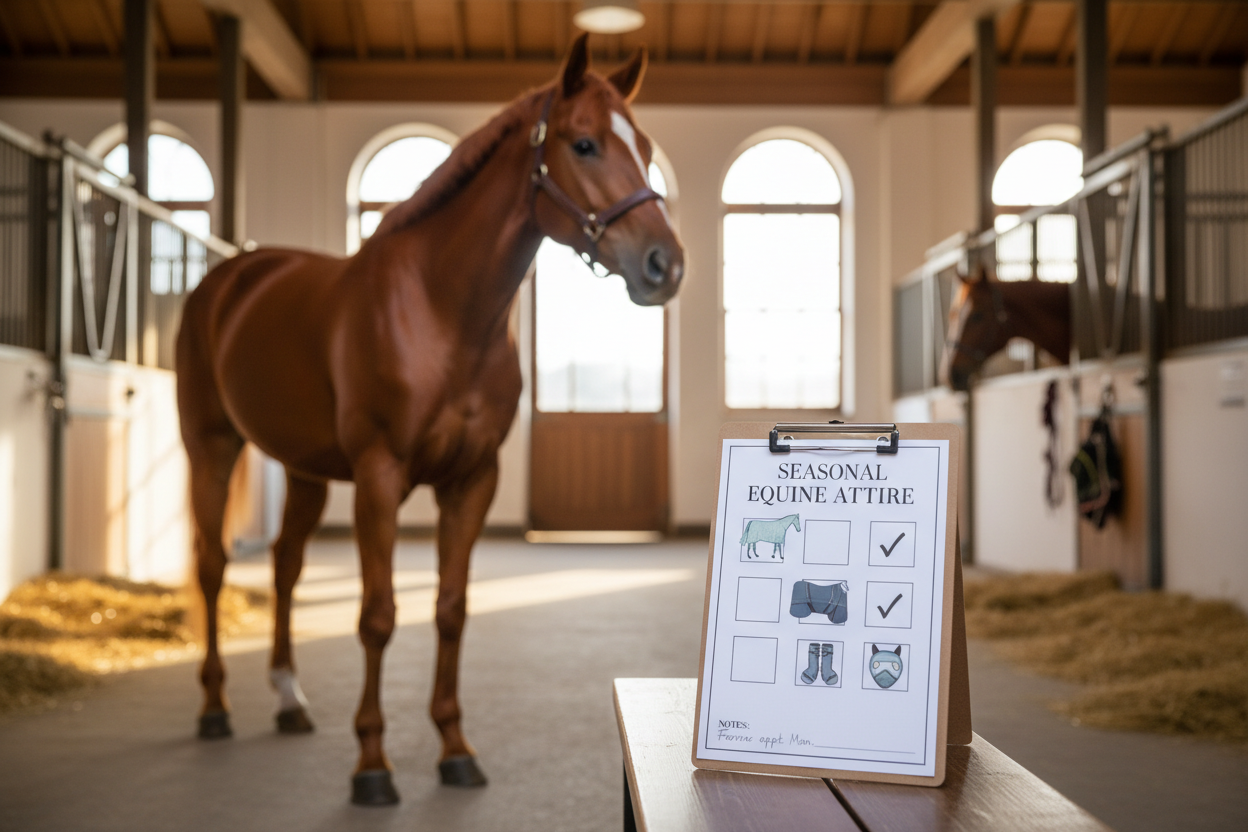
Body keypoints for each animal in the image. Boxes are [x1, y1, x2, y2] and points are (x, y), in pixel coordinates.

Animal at [175, 33, 683, 806]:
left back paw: (289, 700)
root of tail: (228, 278)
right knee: (212, 567)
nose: (665, 264)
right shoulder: (380, 478)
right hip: (211, 445)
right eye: (585, 143)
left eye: (647, 146)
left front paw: (454, 749)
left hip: (302, 469)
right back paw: (213, 708)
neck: (443, 314)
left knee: (288, 566)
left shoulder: (472, 480)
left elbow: (450, 609)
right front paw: (372, 765)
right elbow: (379, 616)